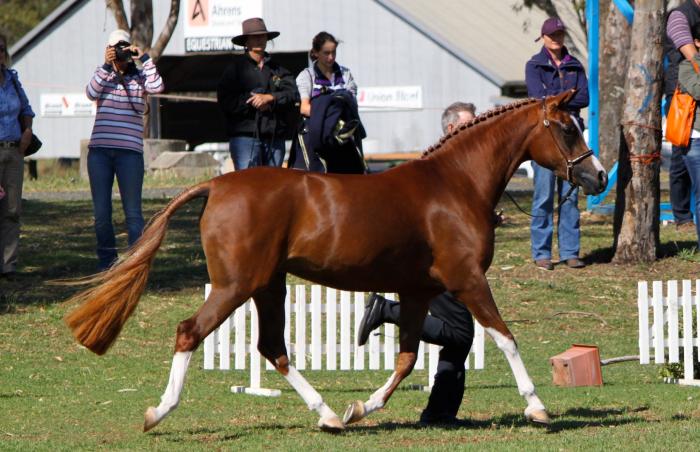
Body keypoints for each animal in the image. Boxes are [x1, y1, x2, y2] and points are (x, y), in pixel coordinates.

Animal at [63, 90, 607, 433]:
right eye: (566, 129)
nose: (599, 176)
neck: (455, 185)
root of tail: (216, 183)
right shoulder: (468, 280)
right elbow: (506, 339)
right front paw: (538, 409)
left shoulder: (417, 291)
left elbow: (407, 358)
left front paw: (359, 409)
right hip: (236, 286)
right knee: (190, 332)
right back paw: (159, 413)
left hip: (268, 286)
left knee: (271, 347)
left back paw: (326, 415)